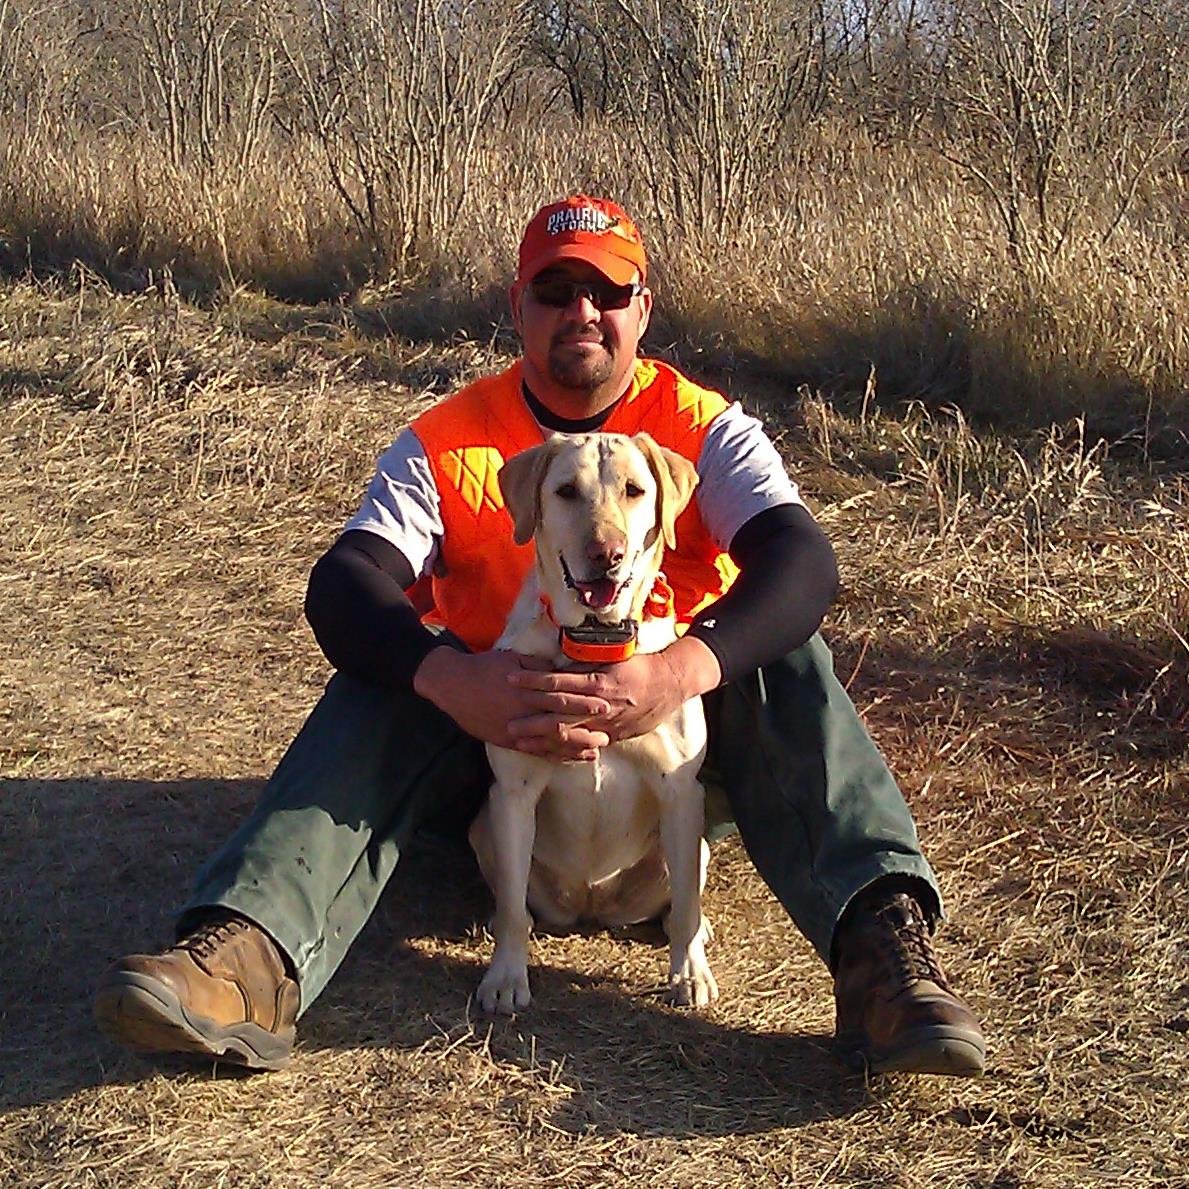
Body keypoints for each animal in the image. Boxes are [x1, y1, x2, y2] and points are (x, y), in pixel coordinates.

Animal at [468, 432, 718, 1017]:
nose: (608, 554)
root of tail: (592, 908)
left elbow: (686, 908)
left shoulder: (680, 791)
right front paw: (506, 976)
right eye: (565, 491)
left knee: (682, 904)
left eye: (634, 490)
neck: (594, 646)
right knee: (516, 903)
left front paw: (688, 974)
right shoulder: (513, 793)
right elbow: (513, 910)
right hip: (485, 826)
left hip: (696, 844)